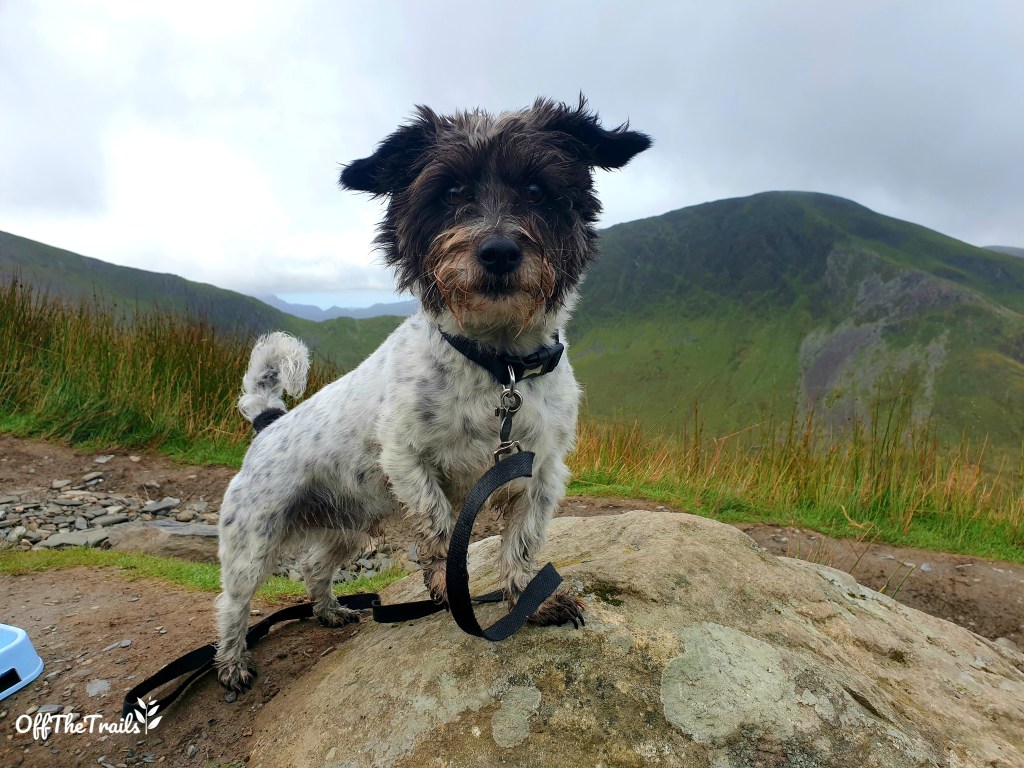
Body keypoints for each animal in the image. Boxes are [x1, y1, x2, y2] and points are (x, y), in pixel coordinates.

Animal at [213, 97, 651, 691]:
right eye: (449, 191)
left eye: (537, 189)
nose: (498, 251)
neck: (498, 368)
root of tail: (269, 422)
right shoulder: (408, 462)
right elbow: (440, 528)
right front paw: (448, 588)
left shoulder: (540, 475)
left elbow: (522, 544)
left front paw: (530, 600)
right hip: (253, 539)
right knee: (233, 603)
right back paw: (233, 661)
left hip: (347, 526)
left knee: (314, 566)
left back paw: (329, 610)